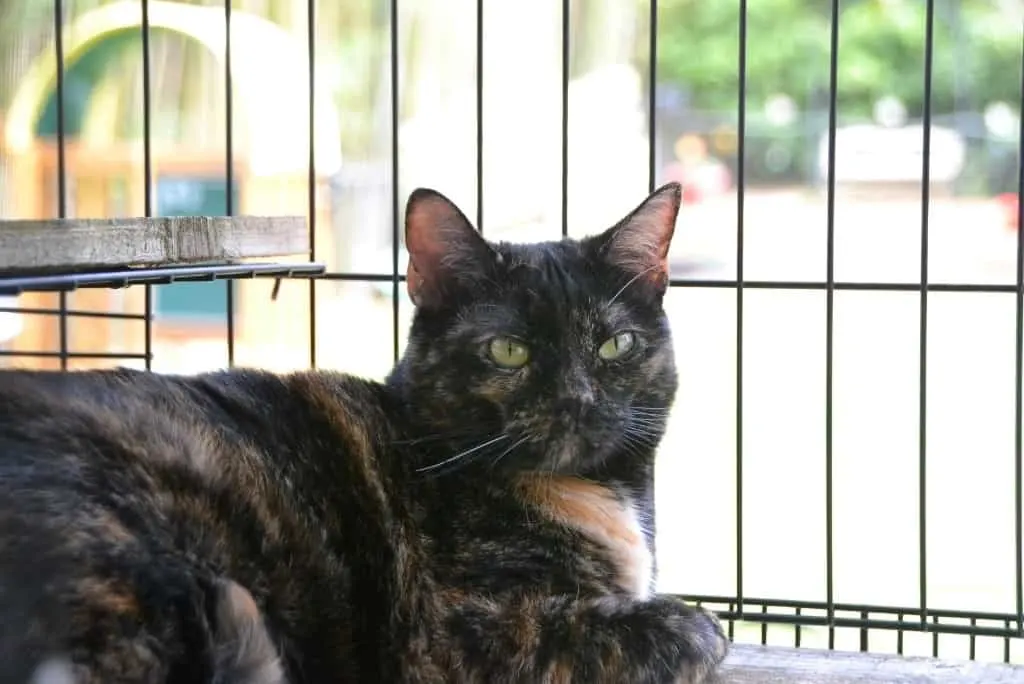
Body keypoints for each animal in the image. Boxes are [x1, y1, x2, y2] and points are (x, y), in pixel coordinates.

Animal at [0, 183, 729, 684]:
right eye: (508, 351)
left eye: (615, 346)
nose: (578, 399)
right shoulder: (459, 633)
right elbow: (688, 629)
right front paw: (688, 624)